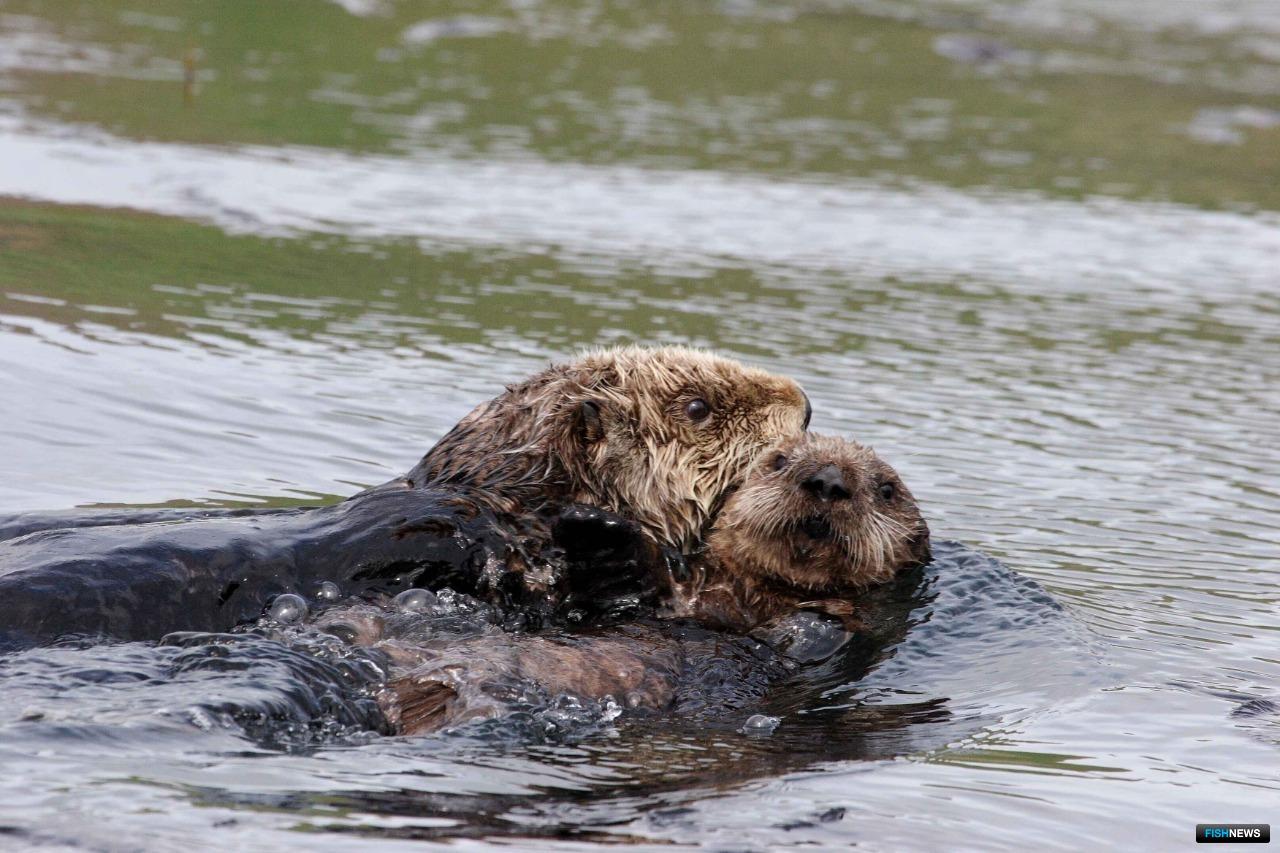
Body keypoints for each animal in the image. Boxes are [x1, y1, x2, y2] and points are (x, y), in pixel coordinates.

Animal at [325, 435, 931, 732]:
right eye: (778, 460)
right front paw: (596, 529)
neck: (746, 594)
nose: (826, 480)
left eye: (887, 489)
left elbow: (817, 633)